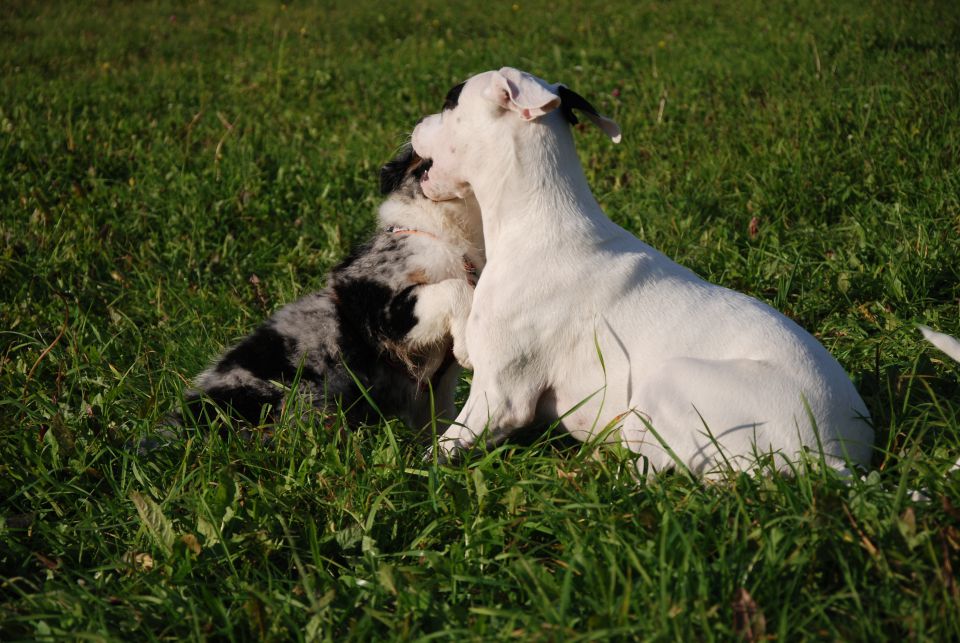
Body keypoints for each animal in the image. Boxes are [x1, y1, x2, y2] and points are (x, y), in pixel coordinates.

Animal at [177, 145, 484, 438]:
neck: (446, 235)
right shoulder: (376, 306)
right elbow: (454, 288)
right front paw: (468, 347)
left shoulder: (434, 390)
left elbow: (442, 424)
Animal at [412, 68, 876, 476]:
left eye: (450, 99)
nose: (414, 124)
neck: (539, 224)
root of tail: (833, 458)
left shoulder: (499, 398)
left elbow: (439, 451)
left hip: (666, 382)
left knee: (657, 473)